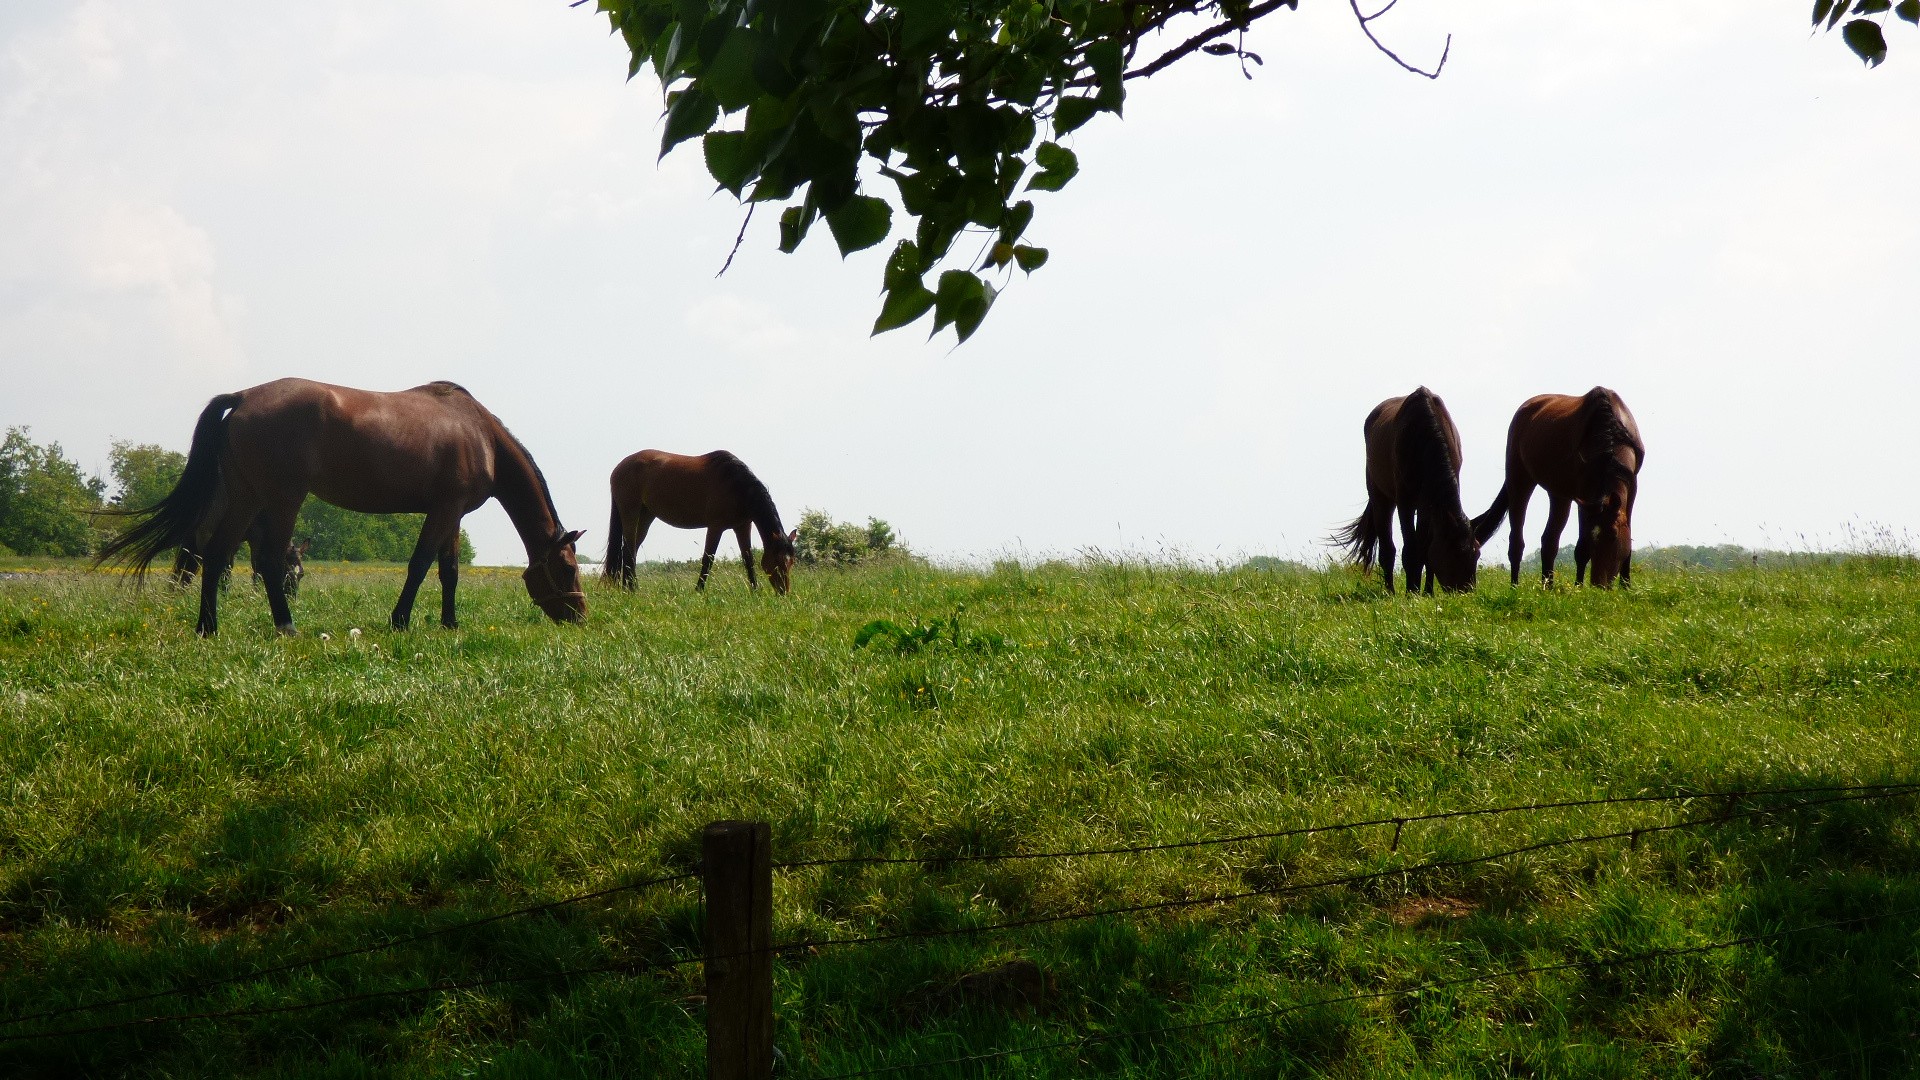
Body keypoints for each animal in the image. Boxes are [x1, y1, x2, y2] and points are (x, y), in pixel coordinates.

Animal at [95, 376, 583, 630]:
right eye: (567, 569)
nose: (580, 616)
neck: (479, 434)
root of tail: (245, 397)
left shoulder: (453, 514)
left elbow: (449, 571)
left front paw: (449, 625)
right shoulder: (444, 511)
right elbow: (420, 564)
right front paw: (400, 620)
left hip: (246, 497)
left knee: (214, 556)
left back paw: (207, 627)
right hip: (282, 499)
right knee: (268, 561)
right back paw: (286, 625)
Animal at [610, 447, 798, 595]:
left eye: (791, 562)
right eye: (777, 562)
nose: (784, 592)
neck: (737, 486)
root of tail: (619, 467)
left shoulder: (743, 526)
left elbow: (748, 559)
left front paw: (755, 590)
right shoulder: (715, 526)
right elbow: (708, 558)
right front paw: (699, 590)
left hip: (646, 515)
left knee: (631, 549)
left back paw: (627, 586)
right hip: (631, 512)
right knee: (628, 550)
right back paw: (632, 588)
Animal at [1336, 384, 1482, 591]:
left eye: (1476, 553)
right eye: (1454, 554)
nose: (1466, 591)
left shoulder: (1428, 504)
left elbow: (1426, 547)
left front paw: (1427, 592)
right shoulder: (1405, 501)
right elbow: (1411, 550)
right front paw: (1411, 591)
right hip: (1380, 497)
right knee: (1387, 549)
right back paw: (1390, 590)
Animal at [1459, 386, 1643, 584]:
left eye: (1613, 535)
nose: (1599, 583)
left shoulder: (1630, 489)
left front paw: (1626, 585)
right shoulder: (1585, 494)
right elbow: (1582, 548)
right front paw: (1579, 586)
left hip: (1559, 494)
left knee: (1549, 541)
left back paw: (1547, 585)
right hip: (1520, 481)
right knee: (1517, 542)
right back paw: (1515, 585)